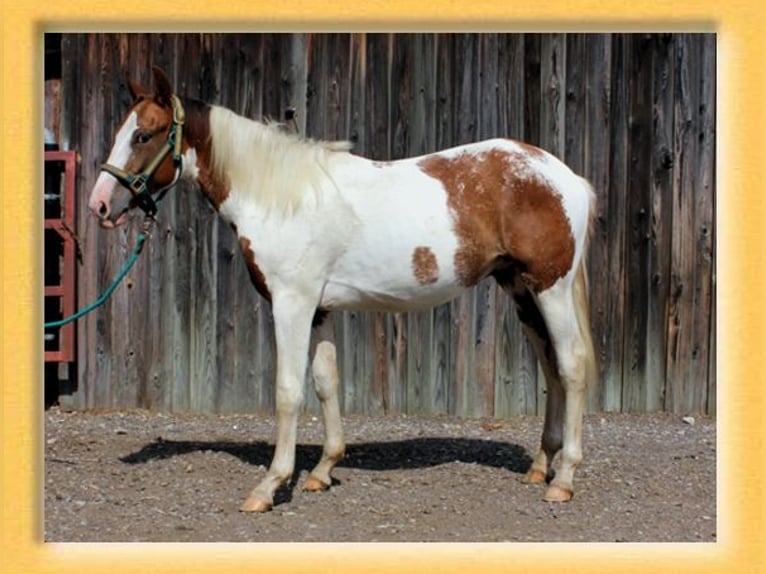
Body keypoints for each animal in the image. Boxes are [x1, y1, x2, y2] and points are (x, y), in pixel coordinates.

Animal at [87, 66, 596, 512]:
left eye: (143, 135)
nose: (99, 206)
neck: (282, 197)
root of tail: (563, 175)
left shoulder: (291, 304)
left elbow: (288, 390)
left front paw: (270, 485)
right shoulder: (318, 308)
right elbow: (326, 382)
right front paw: (322, 470)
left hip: (550, 288)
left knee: (571, 366)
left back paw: (564, 479)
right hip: (521, 291)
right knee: (551, 366)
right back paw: (541, 466)